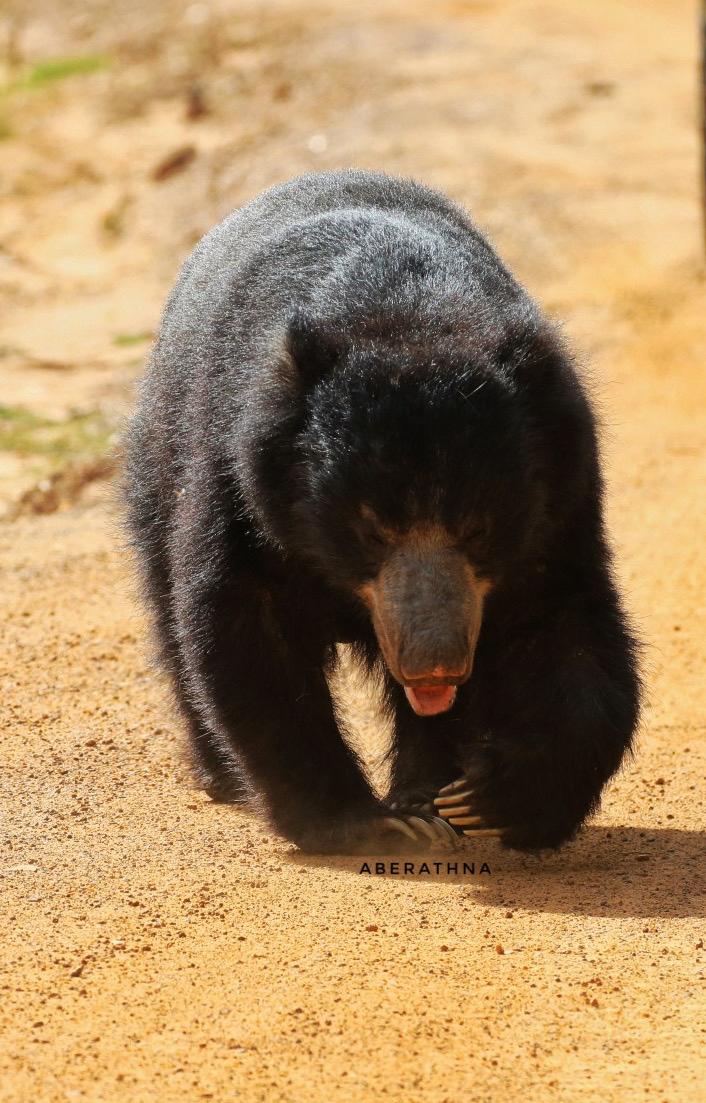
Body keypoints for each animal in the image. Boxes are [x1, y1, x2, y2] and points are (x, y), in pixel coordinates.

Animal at [124, 168, 641, 854]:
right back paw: (224, 777)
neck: (405, 313)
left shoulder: (561, 498)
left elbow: (565, 630)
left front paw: (487, 801)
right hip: (159, 464)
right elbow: (248, 633)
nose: (435, 662)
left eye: (478, 527)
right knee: (166, 604)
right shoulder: (240, 480)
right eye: (371, 529)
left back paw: (429, 797)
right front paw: (361, 822)